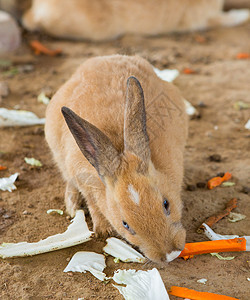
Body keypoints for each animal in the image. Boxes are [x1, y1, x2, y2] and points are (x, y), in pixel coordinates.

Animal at [45, 54, 188, 262]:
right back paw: (72, 206)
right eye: (125, 224)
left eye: (166, 204)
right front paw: (104, 231)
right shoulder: (84, 182)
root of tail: (104, 58)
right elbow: (93, 205)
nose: (170, 254)